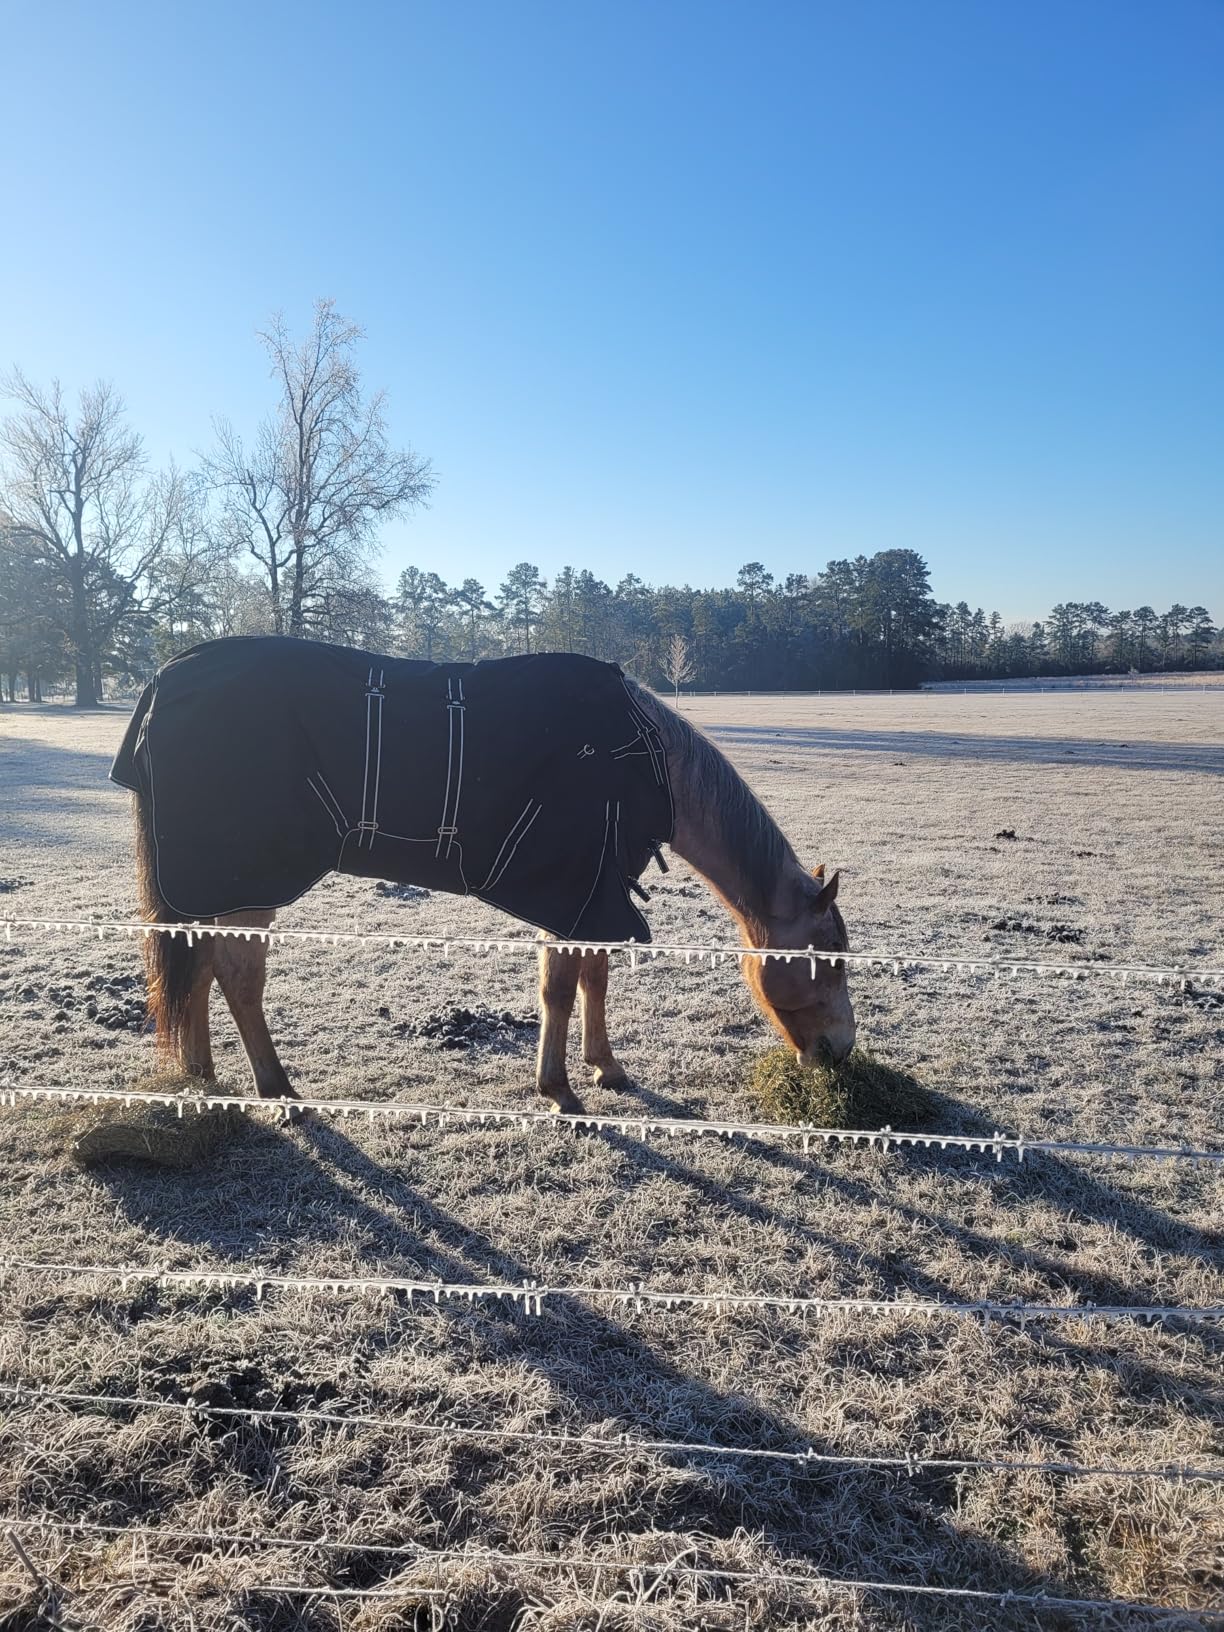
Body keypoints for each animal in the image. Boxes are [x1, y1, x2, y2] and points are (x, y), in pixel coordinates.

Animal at [118, 639, 855, 1114]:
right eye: (830, 956)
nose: (841, 1051)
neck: (644, 761)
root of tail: (160, 683)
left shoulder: (594, 892)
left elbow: (593, 978)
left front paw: (605, 1067)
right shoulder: (569, 892)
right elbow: (559, 987)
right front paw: (559, 1091)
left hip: (216, 887)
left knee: (196, 966)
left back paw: (203, 1078)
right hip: (249, 885)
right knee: (235, 976)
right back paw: (276, 1088)